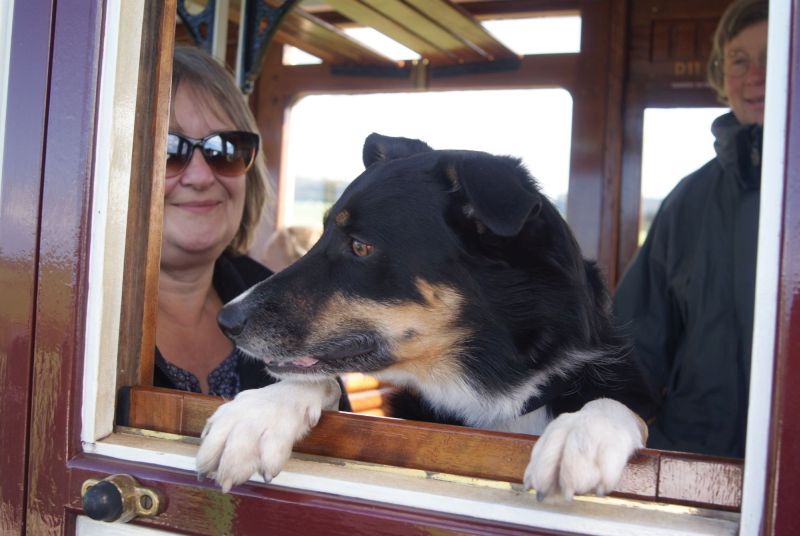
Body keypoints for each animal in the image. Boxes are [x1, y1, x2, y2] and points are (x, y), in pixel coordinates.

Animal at [197, 133, 652, 498]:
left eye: (360, 246)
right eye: (322, 233)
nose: (226, 321)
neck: (496, 398)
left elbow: (616, 405)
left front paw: (581, 434)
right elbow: (314, 382)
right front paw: (256, 416)